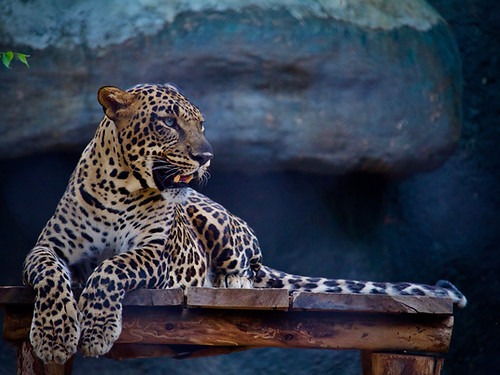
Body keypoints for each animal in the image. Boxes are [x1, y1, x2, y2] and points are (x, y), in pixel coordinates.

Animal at [22, 83, 468, 364]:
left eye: (201, 124)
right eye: (168, 121)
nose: (206, 155)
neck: (121, 186)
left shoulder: (155, 253)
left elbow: (111, 269)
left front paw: (96, 332)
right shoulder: (48, 247)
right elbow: (50, 275)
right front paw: (54, 337)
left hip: (217, 222)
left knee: (245, 271)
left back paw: (227, 284)